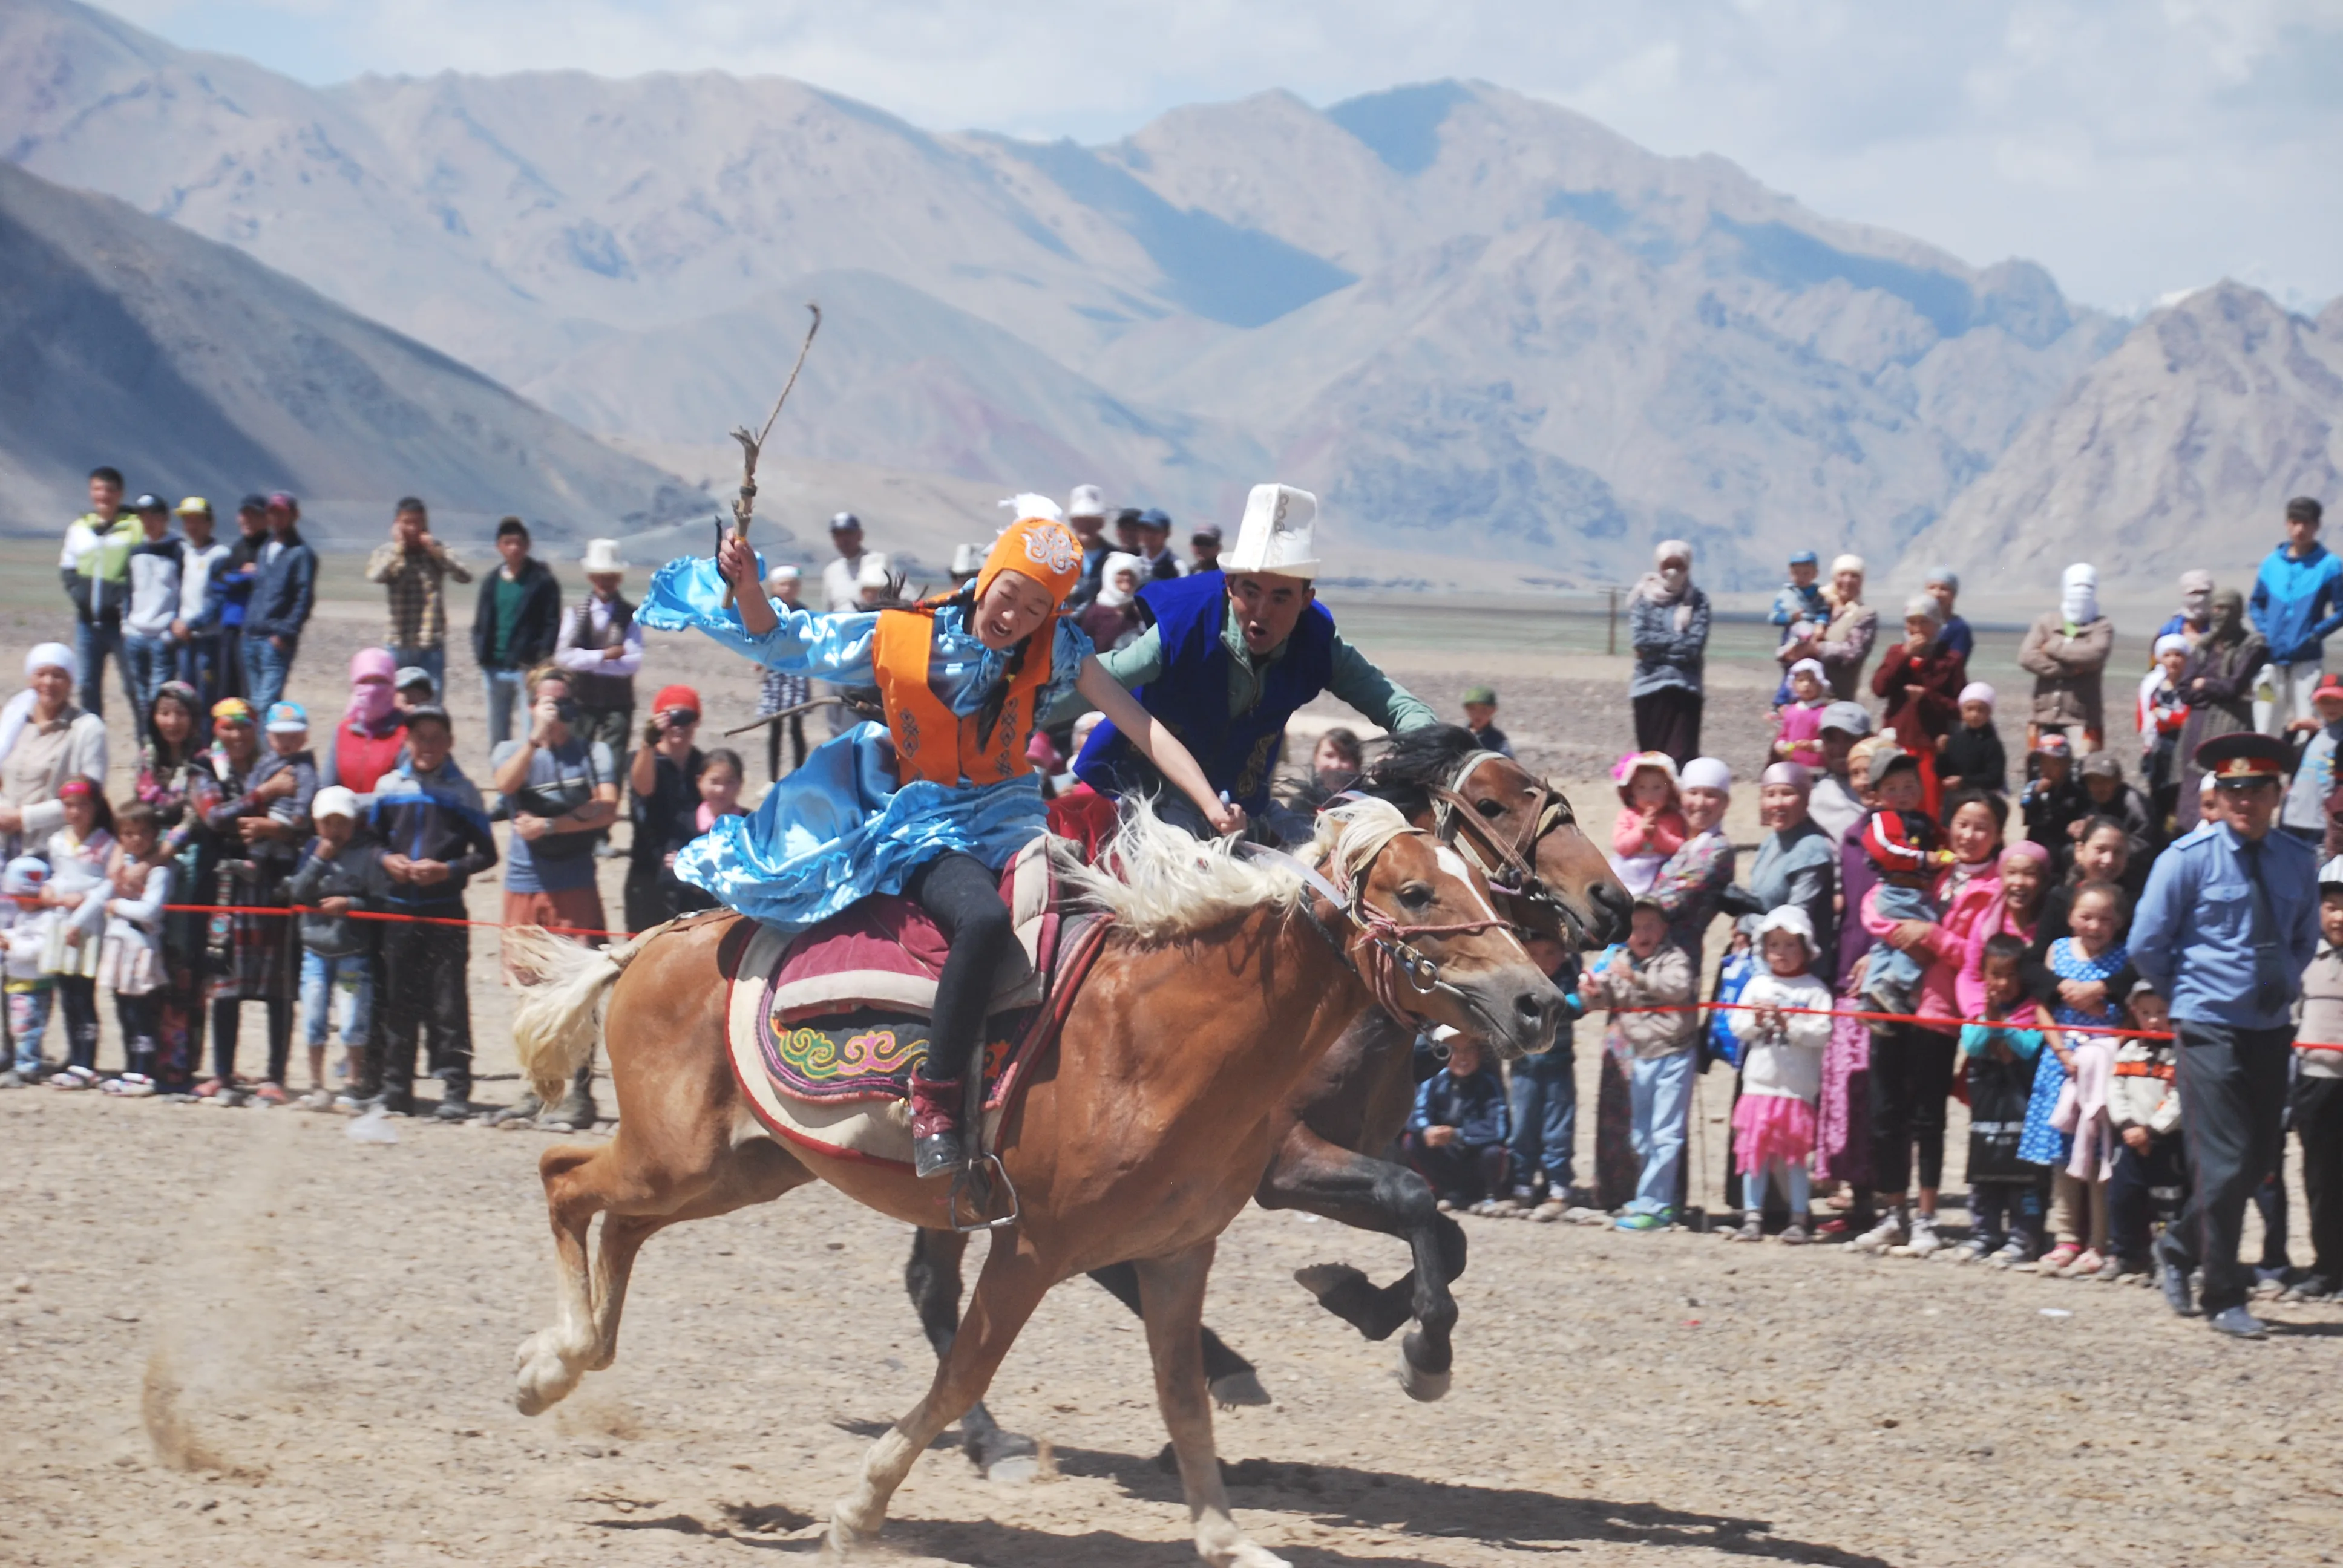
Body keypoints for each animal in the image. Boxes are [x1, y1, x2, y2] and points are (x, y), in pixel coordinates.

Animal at [503, 802, 1565, 1556]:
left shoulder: (1179, 1252)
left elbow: (1184, 1398)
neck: (1157, 1040)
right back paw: (551, 1368)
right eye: (1418, 894)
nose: (1540, 1001)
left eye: (1487, 884)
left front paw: (1230, 1542)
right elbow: (959, 1375)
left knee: (616, 1219)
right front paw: (858, 1511)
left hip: (738, 1168)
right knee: (563, 1181)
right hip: (679, 1156)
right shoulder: (1031, 1247)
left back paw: (563, 1363)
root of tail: (652, 942)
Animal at [914, 722, 1630, 1472]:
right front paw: (1417, 1347)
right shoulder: (1285, 1161)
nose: (1613, 901)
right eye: (1490, 804)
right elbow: (1412, 1198)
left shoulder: (1347, 1154)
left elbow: (1445, 1232)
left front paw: (1368, 1304)